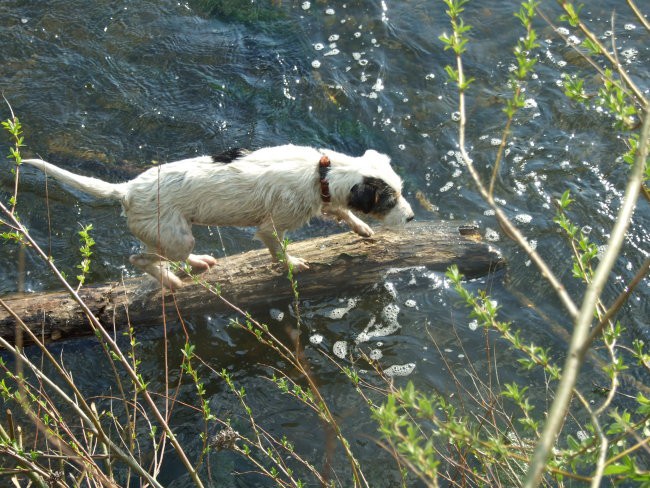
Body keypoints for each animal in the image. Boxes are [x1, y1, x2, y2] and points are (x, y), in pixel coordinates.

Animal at [24, 145, 416, 290]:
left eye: (401, 191)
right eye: (390, 200)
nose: (412, 218)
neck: (321, 172)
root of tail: (126, 191)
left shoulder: (326, 200)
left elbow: (341, 211)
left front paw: (362, 228)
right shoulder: (270, 227)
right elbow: (277, 250)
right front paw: (292, 264)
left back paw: (198, 264)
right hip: (175, 238)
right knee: (140, 259)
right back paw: (173, 281)